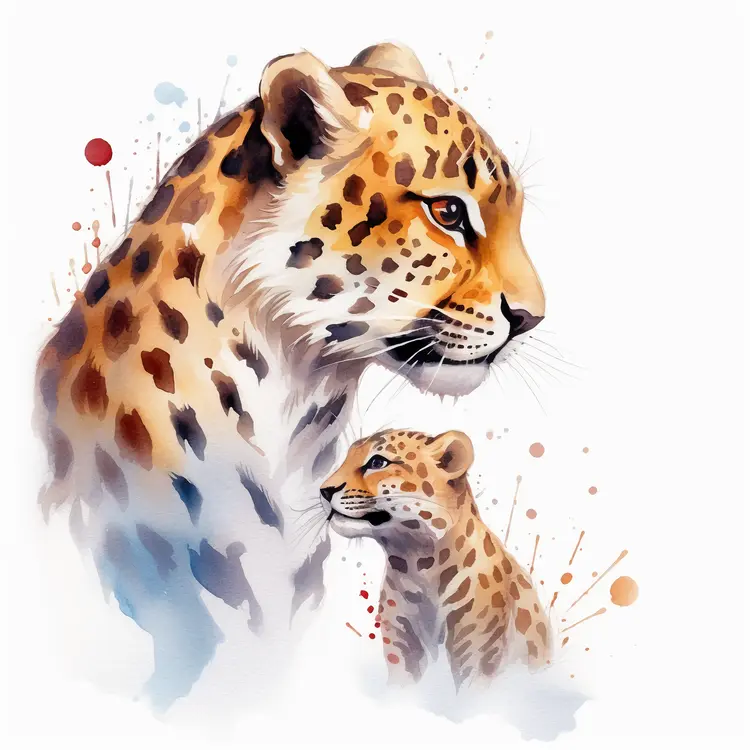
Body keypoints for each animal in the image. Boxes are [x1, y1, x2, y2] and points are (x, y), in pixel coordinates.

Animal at [321, 429, 551, 689]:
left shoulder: (477, 656)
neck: (417, 564)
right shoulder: (402, 645)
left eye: (377, 462)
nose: (324, 490)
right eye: (346, 458)